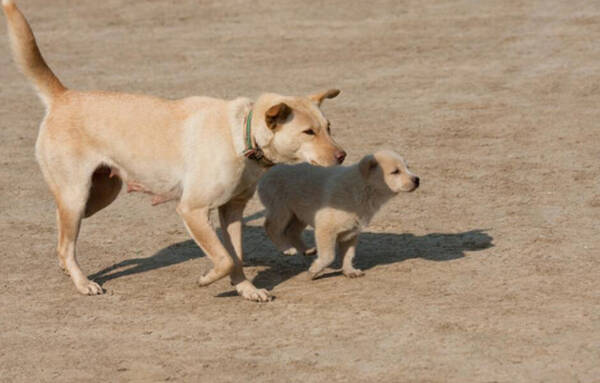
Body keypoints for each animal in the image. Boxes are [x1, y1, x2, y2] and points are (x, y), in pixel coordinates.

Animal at [2, 0, 346, 304]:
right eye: (308, 132)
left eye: (328, 127)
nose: (342, 155)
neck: (240, 134)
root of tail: (63, 96)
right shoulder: (192, 210)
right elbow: (223, 258)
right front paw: (208, 278)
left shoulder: (232, 211)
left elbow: (235, 257)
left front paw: (246, 289)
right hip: (76, 196)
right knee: (66, 243)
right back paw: (82, 282)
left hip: (97, 196)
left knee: (62, 236)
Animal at [256, 150, 418, 280]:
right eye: (395, 171)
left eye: (407, 167)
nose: (417, 180)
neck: (363, 188)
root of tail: (272, 167)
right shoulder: (325, 228)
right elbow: (329, 256)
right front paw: (313, 271)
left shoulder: (351, 232)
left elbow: (349, 254)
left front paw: (349, 271)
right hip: (281, 208)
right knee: (271, 227)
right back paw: (286, 248)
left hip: (300, 212)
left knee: (292, 231)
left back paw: (306, 250)